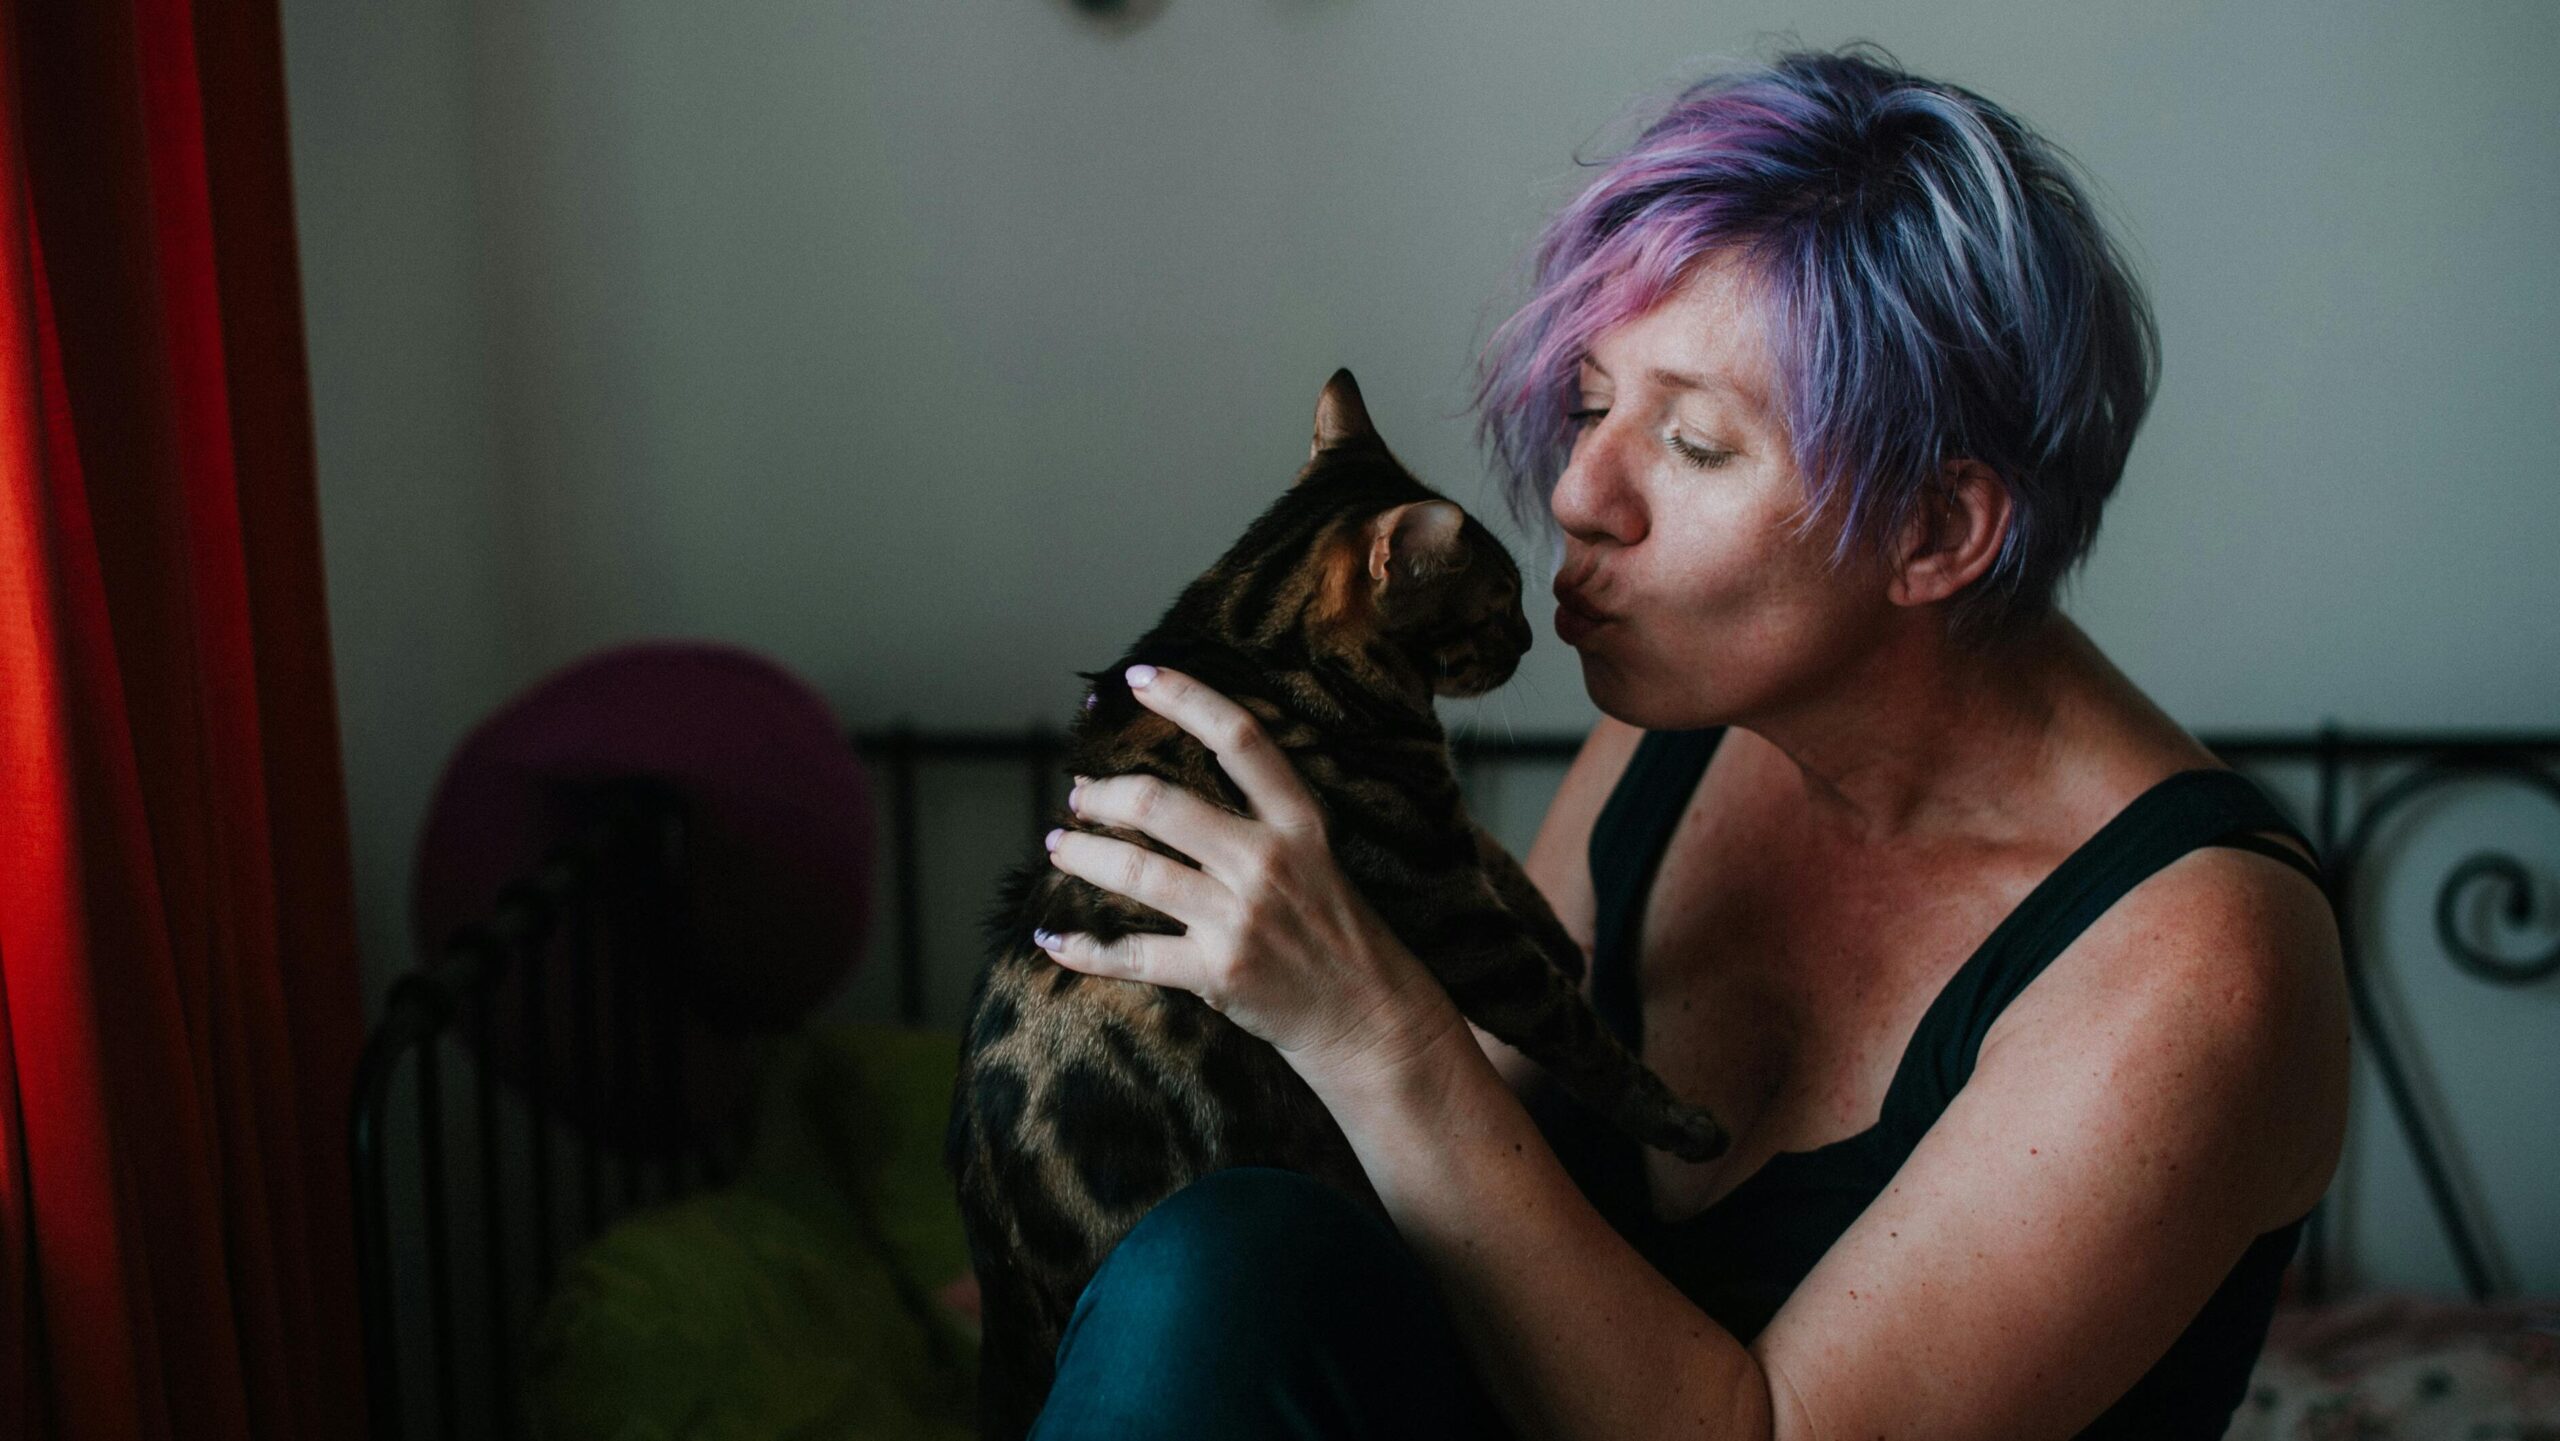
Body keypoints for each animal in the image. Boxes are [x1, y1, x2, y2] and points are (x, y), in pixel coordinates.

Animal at [952, 371, 1730, 1441]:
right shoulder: (1452, 915)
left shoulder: (1442, 836)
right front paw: (1681, 1119)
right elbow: (1581, 1034)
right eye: (1501, 605)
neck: (1245, 637)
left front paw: (1565, 932)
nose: (1536, 634)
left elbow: (1497, 854)